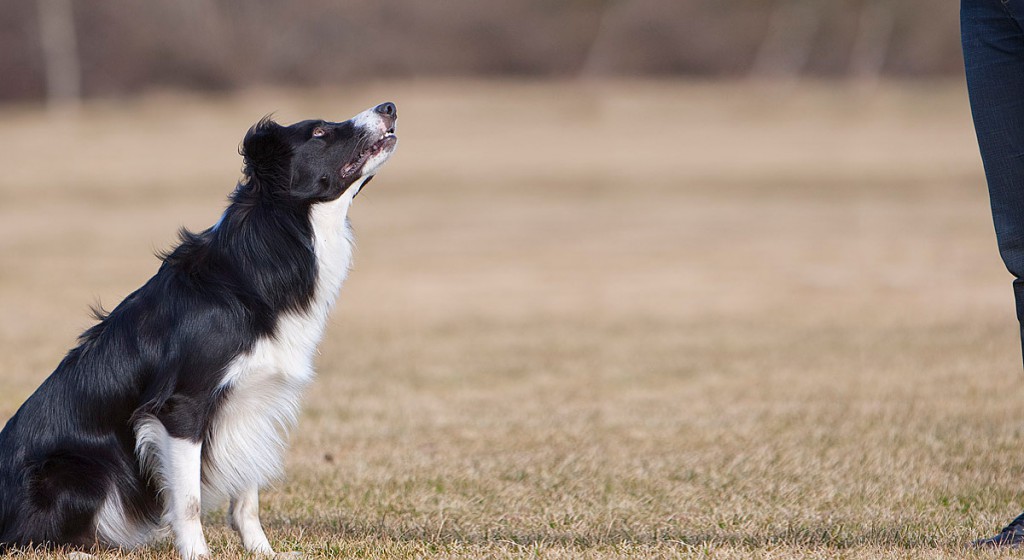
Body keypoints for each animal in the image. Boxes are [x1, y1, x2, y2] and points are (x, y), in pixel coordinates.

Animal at [0, 102, 397, 556]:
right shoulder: (181, 407)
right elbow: (187, 500)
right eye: (318, 132)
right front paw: (197, 554)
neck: (276, 241)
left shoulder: (251, 403)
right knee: (25, 539)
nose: (389, 107)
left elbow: (246, 497)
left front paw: (264, 551)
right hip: (75, 472)